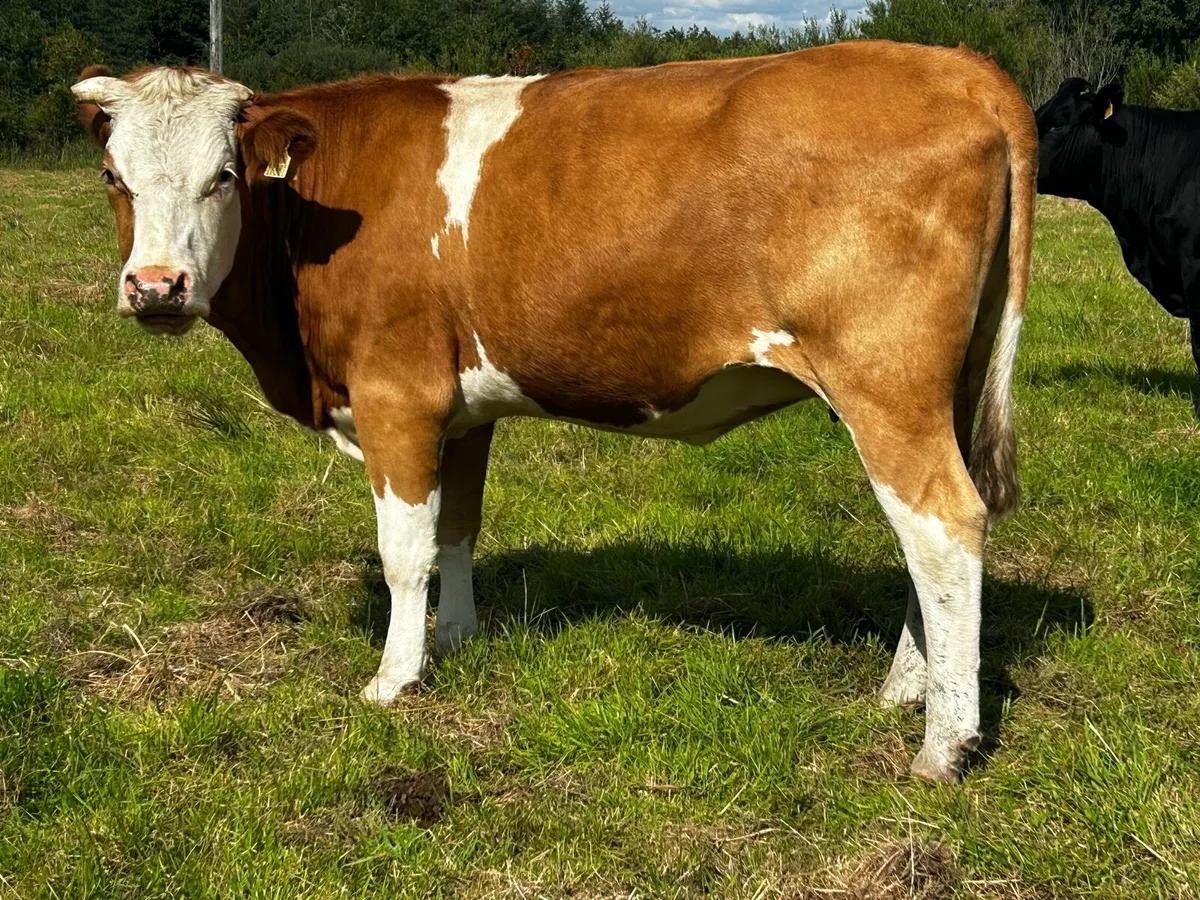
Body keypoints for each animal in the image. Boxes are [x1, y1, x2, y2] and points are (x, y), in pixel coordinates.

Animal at [72, 40, 1036, 782]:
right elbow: (458, 530)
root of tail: (956, 63)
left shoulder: (396, 399)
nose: (155, 287)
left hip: (885, 383)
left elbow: (405, 554)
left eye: (224, 177)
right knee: (924, 542)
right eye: (115, 178)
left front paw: (395, 679)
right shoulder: (462, 410)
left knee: (943, 526)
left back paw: (943, 745)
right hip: (931, 391)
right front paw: (457, 642)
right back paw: (908, 688)